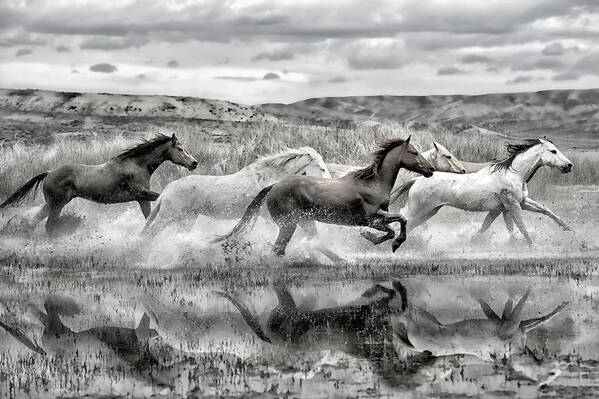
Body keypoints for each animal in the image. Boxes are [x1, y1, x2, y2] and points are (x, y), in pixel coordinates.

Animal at [0, 133, 197, 236]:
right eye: (180, 149)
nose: (194, 163)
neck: (136, 165)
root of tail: (49, 173)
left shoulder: (142, 199)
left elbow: (149, 218)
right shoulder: (141, 193)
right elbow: (158, 199)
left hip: (52, 204)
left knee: (35, 222)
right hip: (58, 204)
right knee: (49, 226)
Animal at [144, 147, 332, 236]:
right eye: (322, 168)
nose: (330, 185)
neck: (269, 178)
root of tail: (167, 190)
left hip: (186, 220)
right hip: (166, 218)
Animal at [216, 137, 436, 256]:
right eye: (414, 152)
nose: (431, 170)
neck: (373, 183)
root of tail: (274, 186)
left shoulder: (376, 218)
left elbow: (394, 226)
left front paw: (373, 238)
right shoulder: (371, 218)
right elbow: (400, 222)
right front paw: (389, 242)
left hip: (304, 222)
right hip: (289, 224)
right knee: (280, 247)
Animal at [396, 138, 576, 247]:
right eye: (553, 151)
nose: (569, 165)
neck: (513, 174)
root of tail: (416, 179)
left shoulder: (515, 205)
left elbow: (545, 211)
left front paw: (568, 229)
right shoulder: (513, 206)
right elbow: (521, 227)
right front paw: (532, 246)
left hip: (429, 212)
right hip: (419, 210)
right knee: (403, 221)